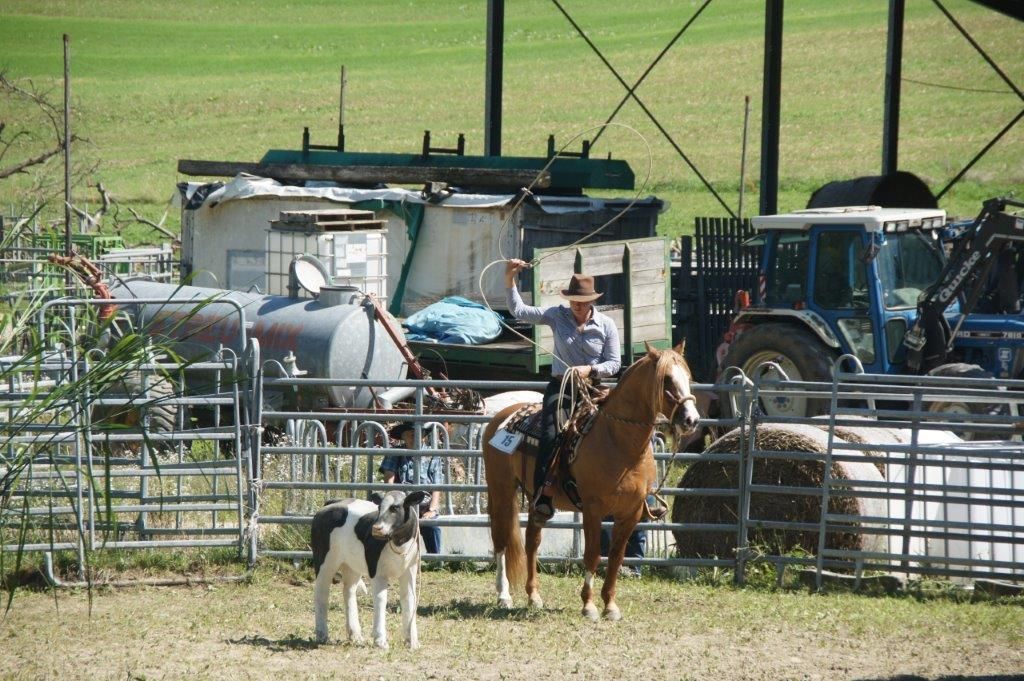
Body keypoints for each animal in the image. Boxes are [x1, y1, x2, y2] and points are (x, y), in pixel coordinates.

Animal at [482, 342, 700, 620]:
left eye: (688, 378)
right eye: (667, 381)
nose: (691, 420)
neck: (619, 443)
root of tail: (502, 416)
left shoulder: (630, 512)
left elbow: (616, 557)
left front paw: (611, 606)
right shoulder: (593, 509)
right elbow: (593, 555)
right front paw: (589, 606)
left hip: (535, 496)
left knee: (532, 540)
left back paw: (534, 596)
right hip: (500, 489)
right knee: (500, 539)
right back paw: (504, 595)